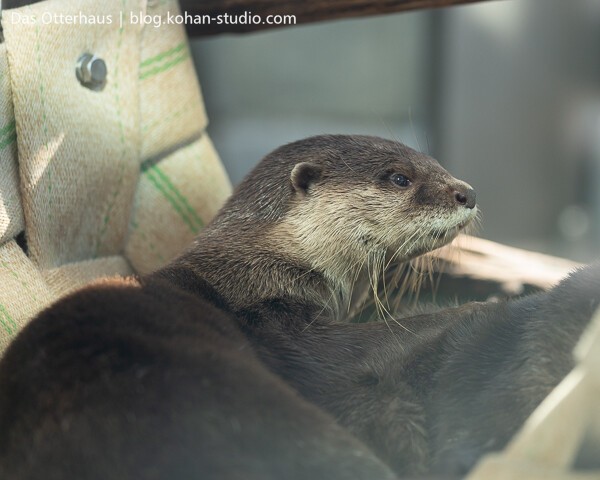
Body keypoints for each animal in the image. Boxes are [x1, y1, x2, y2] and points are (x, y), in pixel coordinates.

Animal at [0, 135, 478, 480]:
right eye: (398, 178)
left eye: (436, 164)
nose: (467, 193)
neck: (257, 268)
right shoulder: (272, 318)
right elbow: (350, 352)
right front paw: (477, 308)